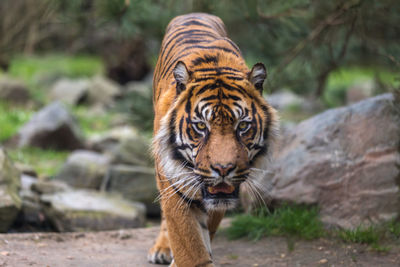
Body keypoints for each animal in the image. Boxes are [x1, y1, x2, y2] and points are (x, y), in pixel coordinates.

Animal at [148, 13, 278, 267]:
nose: (223, 169)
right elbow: (189, 245)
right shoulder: (174, 183)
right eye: (200, 126)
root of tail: (193, 14)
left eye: (243, 126)